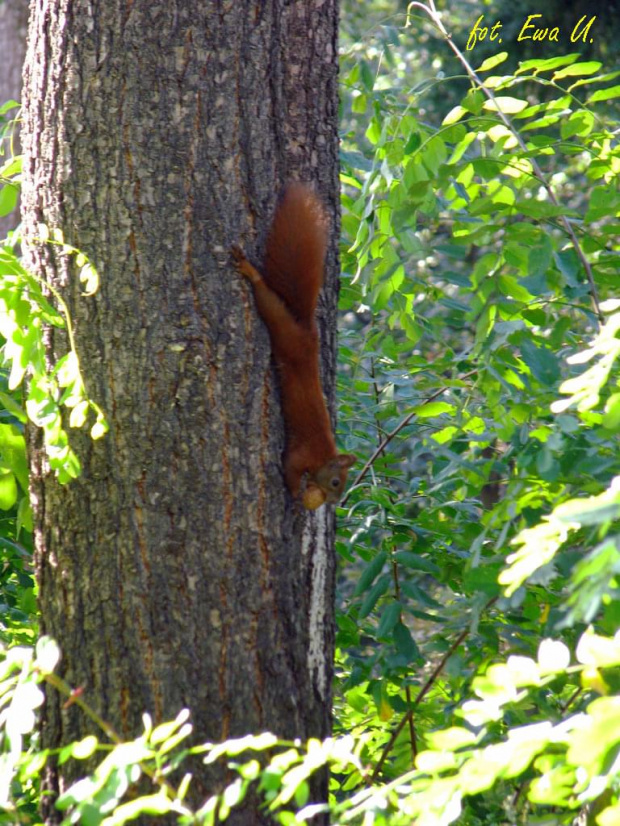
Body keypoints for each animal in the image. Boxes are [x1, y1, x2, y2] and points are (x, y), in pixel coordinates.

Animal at [232, 183, 356, 508]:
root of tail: (308, 333)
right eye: (336, 481)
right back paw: (250, 272)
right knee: (268, 300)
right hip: (283, 329)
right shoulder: (301, 454)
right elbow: (288, 469)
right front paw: (296, 495)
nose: (333, 502)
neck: (324, 455)